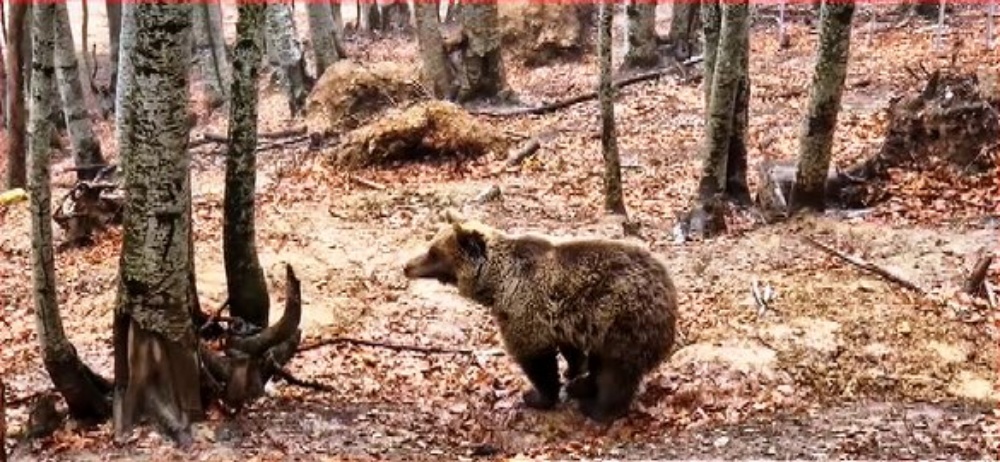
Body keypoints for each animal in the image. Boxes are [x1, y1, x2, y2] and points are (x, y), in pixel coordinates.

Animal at [402, 211, 676, 424]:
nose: (407, 266)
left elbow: (536, 360)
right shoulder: (565, 320)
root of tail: (668, 287)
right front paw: (572, 372)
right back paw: (582, 387)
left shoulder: (524, 311)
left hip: (623, 318)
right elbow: (571, 351)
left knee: (616, 370)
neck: (496, 284)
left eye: (433, 252)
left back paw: (600, 409)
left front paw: (536, 396)